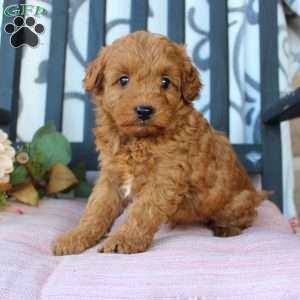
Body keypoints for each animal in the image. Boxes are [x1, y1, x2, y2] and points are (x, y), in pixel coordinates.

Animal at [52, 31, 270, 255]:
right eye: (123, 80)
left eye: (165, 82)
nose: (144, 110)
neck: (139, 140)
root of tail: (256, 194)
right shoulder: (111, 176)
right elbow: (96, 208)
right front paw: (75, 237)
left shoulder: (165, 178)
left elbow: (142, 212)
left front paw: (124, 239)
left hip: (238, 202)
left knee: (246, 217)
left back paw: (226, 229)